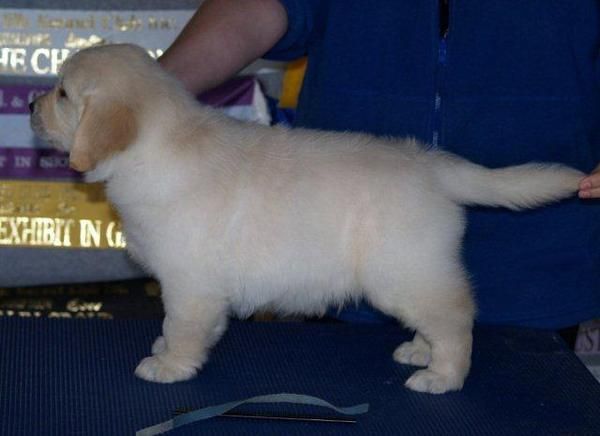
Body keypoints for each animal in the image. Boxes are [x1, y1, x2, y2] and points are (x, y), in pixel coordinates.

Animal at [30, 44, 584, 394]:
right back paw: (419, 351)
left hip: (402, 271)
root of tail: (436, 166)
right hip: (414, 271)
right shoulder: (203, 287)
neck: (153, 148)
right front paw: (175, 349)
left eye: (63, 93)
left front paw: (170, 364)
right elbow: (197, 326)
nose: (32, 103)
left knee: (456, 316)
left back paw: (442, 375)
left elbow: (182, 323)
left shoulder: (189, 281)